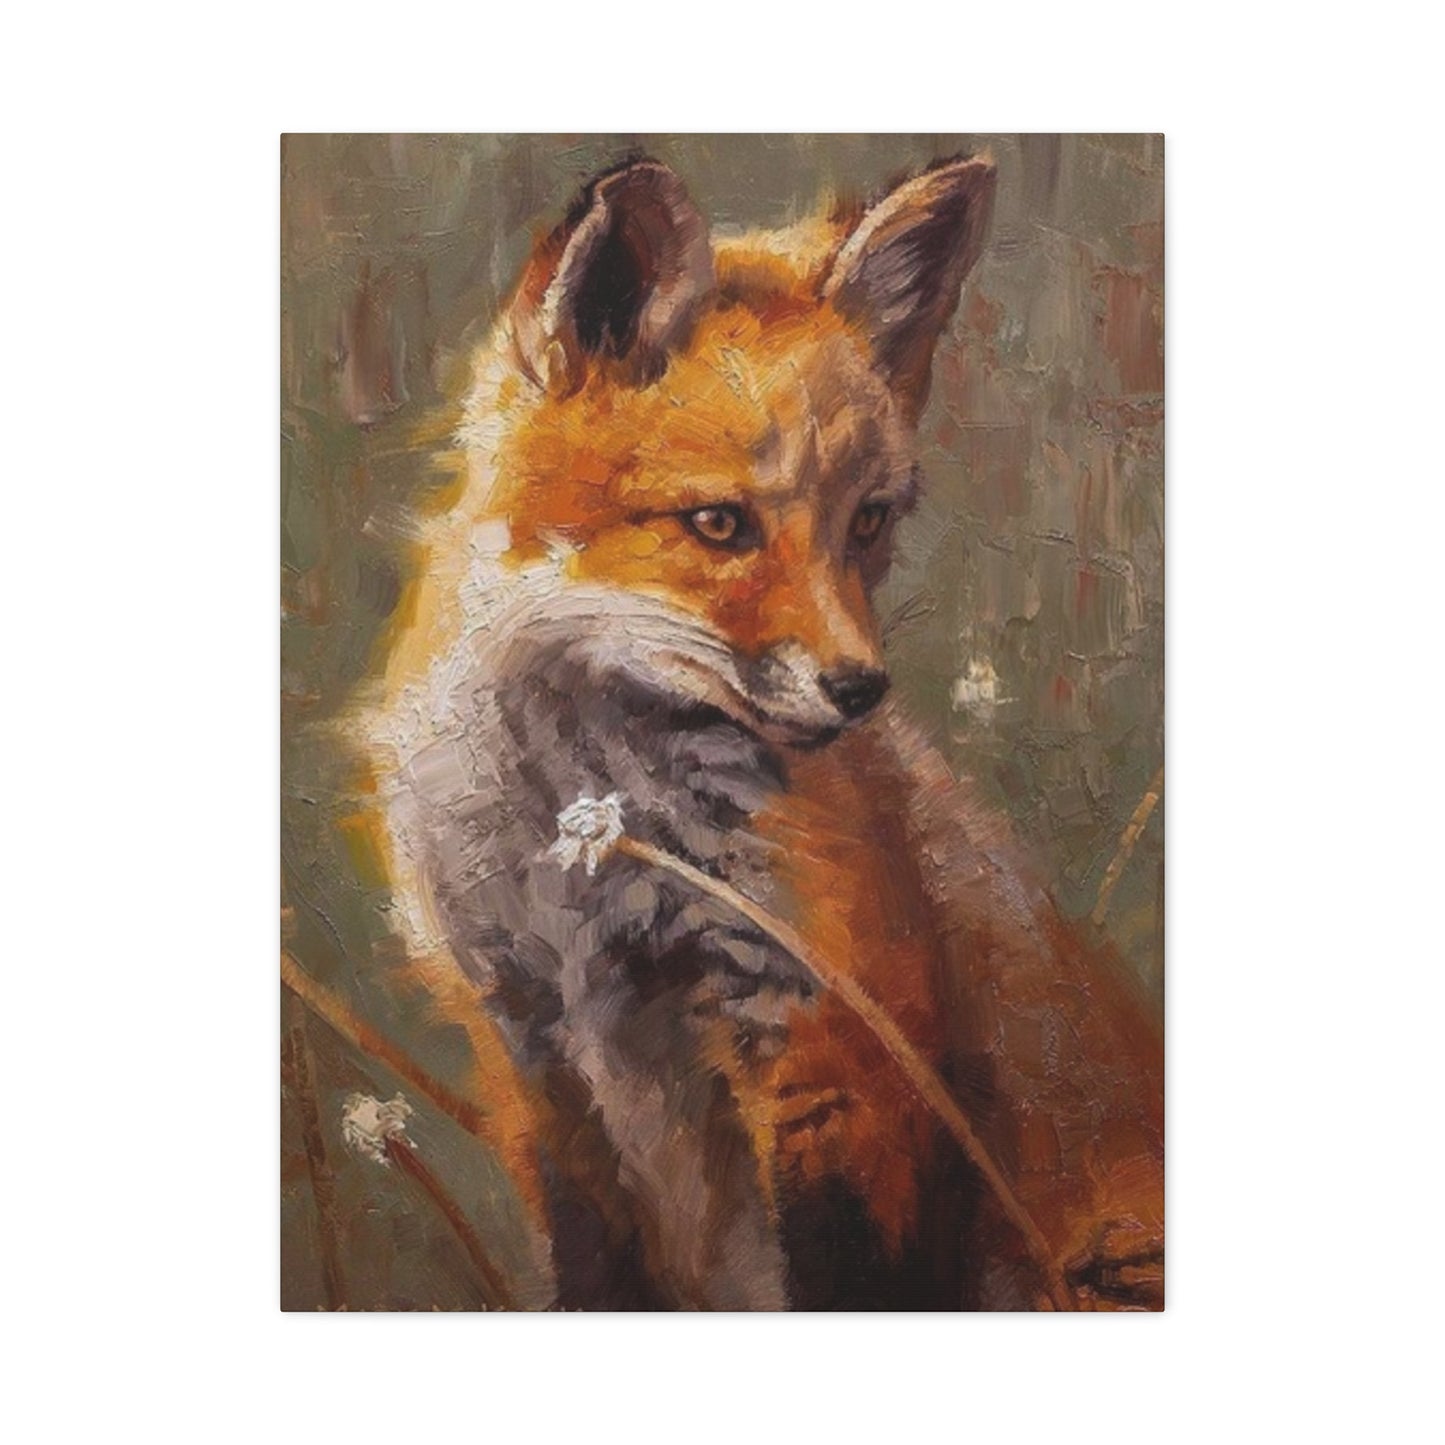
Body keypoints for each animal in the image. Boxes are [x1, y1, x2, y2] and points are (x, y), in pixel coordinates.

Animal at [352, 153, 1164, 1310]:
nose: (858, 689)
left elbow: (851, 1275)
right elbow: (591, 1274)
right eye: (718, 523)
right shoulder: (526, 1042)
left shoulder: (835, 1032)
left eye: (866, 520)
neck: (588, 837)